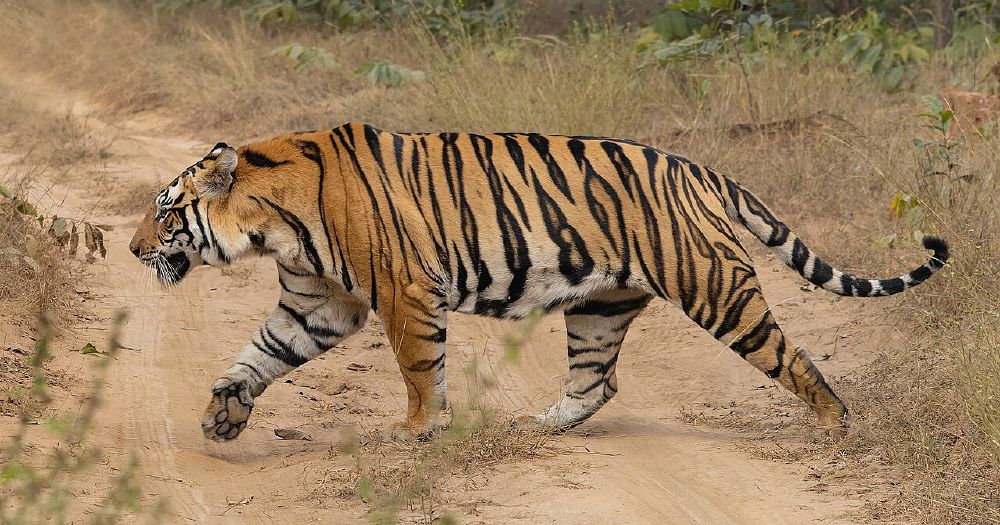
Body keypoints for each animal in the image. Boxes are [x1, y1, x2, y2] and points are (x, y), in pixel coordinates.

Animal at [128, 123, 949, 442]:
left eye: (165, 210)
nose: (132, 249)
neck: (271, 220)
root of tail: (704, 171)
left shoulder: (404, 292)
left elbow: (418, 368)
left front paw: (417, 431)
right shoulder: (317, 302)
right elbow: (259, 354)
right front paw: (223, 414)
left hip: (716, 287)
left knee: (792, 356)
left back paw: (836, 425)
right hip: (600, 306)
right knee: (597, 381)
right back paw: (540, 425)